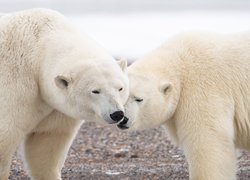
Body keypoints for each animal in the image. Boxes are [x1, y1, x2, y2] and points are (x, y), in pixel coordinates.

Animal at [0, 8, 128, 180]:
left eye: (120, 88)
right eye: (95, 91)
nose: (117, 114)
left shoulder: (55, 106)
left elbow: (46, 143)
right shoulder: (16, 83)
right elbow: (6, 133)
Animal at [118, 32, 250, 180]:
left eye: (139, 99)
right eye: (120, 93)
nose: (123, 118)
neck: (180, 63)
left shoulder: (202, 90)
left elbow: (206, 140)